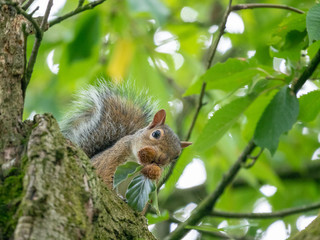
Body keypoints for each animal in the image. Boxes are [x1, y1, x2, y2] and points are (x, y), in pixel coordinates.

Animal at [60, 81, 191, 192]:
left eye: (177, 156)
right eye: (156, 134)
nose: (161, 159)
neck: (136, 162)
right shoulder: (114, 158)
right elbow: (107, 176)